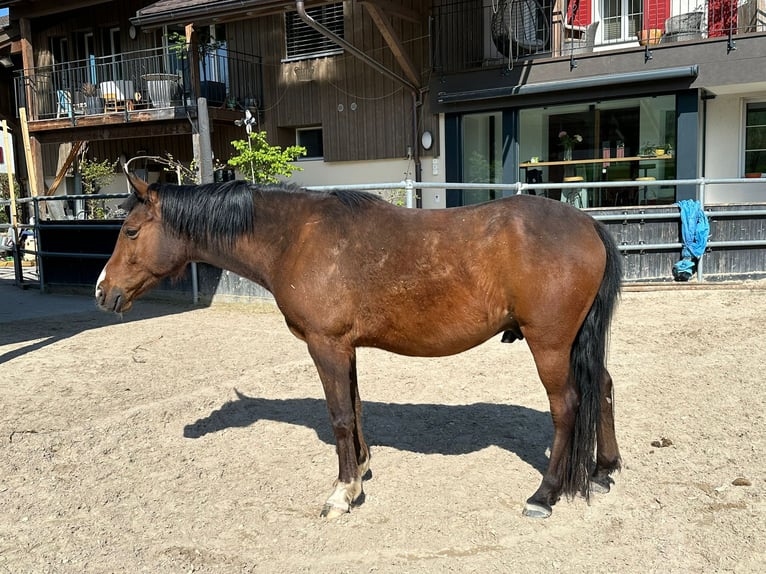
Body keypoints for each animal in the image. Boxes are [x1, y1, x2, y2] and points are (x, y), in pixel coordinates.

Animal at [97, 173, 624, 520]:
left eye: (130, 231)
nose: (103, 291)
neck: (295, 237)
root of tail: (587, 224)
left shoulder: (326, 346)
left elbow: (339, 416)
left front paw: (342, 491)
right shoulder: (345, 348)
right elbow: (354, 407)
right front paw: (362, 468)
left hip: (550, 345)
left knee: (567, 407)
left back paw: (544, 494)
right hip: (577, 344)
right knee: (603, 387)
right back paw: (603, 469)